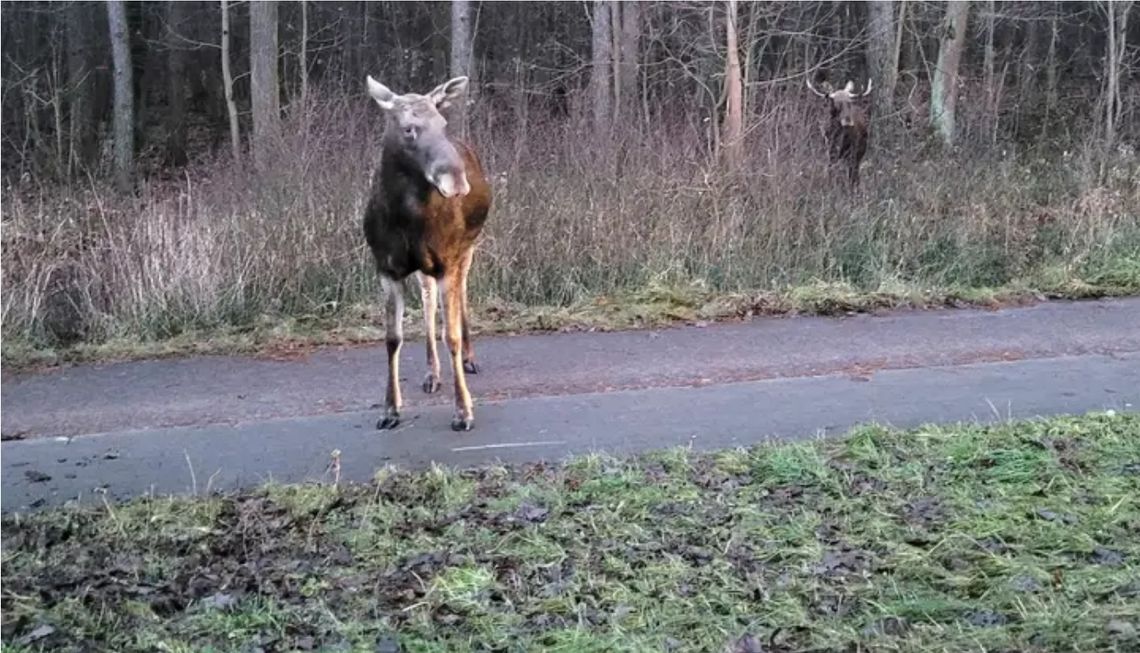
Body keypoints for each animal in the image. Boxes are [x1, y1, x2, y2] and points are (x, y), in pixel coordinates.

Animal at [362, 75, 492, 433]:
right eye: (409, 128)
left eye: (442, 123)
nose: (456, 179)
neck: (405, 220)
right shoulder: (386, 269)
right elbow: (393, 338)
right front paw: (390, 409)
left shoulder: (448, 260)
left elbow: (452, 335)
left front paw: (463, 411)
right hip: (425, 267)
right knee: (428, 301)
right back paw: (432, 373)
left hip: (467, 248)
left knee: (462, 295)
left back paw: (470, 359)